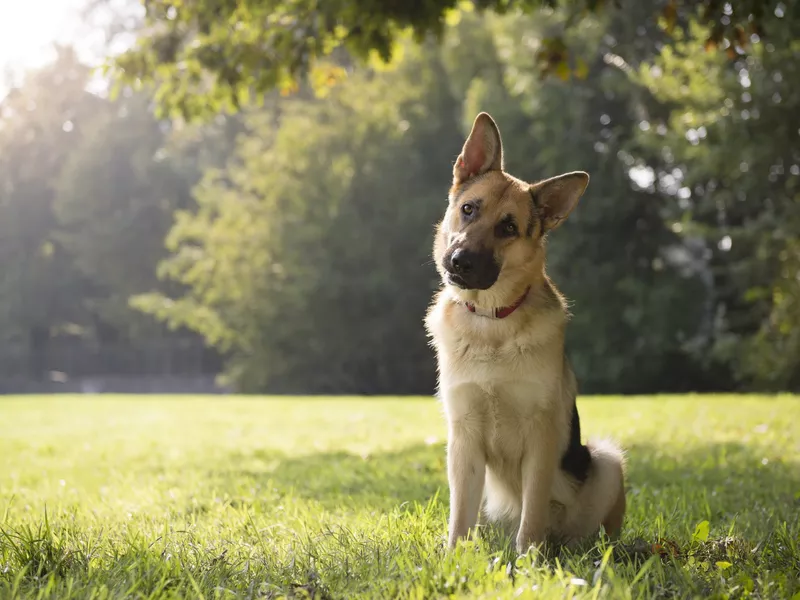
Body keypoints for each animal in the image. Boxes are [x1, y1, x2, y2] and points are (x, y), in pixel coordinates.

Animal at [424, 111, 624, 552]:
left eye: (508, 228)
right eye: (468, 209)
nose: (459, 262)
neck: (491, 321)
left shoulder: (541, 439)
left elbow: (532, 511)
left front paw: (530, 558)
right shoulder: (463, 441)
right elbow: (459, 516)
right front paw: (454, 556)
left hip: (606, 460)